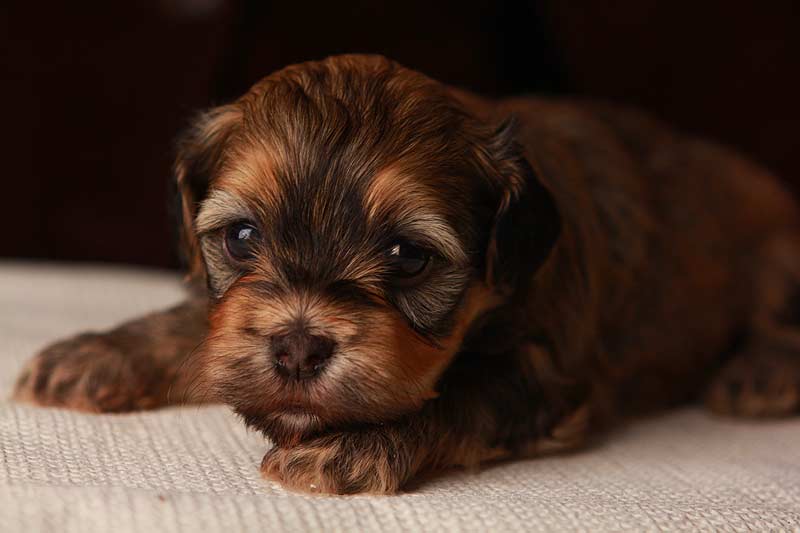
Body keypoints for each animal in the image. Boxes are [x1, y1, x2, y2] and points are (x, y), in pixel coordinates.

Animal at [12, 55, 800, 494]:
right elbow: (199, 325)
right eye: (241, 237)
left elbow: (459, 394)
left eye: (407, 256)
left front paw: (348, 446)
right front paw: (98, 353)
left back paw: (759, 376)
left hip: (776, 255)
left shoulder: (545, 373)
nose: (297, 348)